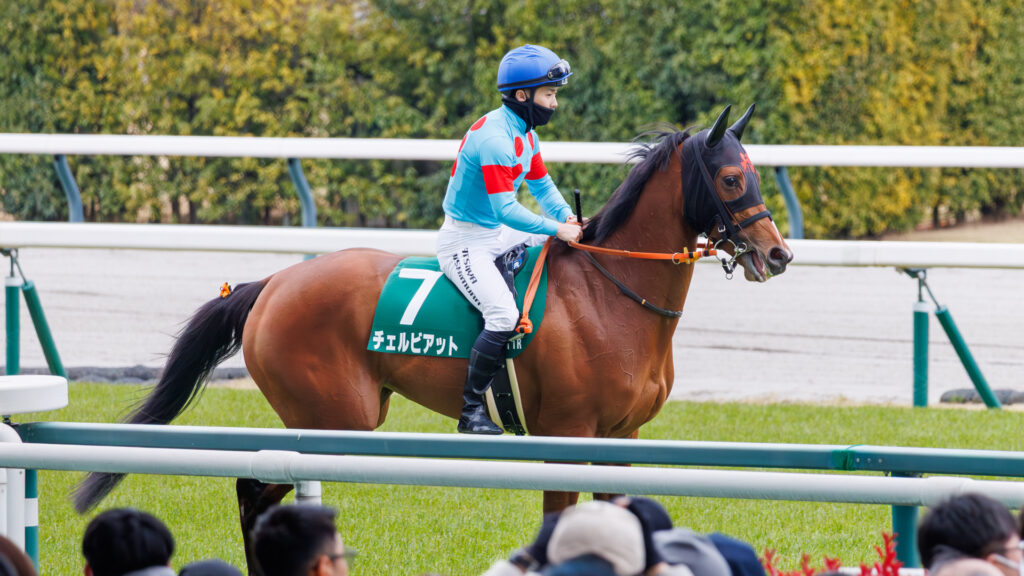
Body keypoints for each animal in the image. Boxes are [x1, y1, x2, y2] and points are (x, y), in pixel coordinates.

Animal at [73, 104, 792, 570]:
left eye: (757, 172)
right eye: (732, 178)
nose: (778, 255)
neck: (609, 291)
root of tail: (274, 282)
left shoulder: (622, 439)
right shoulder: (566, 435)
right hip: (335, 419)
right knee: (256, 490)